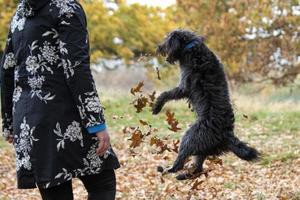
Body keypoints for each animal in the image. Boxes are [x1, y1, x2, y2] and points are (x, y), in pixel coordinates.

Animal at [154, 28, 258, 180]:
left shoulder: (184, 87)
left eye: (168, 40)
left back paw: (168, 169)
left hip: (190, 137)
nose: (159, 47)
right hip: (201, 148)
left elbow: (166, 94)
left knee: (181, 162)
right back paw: (182, 176)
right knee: (198, 169)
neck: (192, 48)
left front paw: (156, 106)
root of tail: (226, 135)